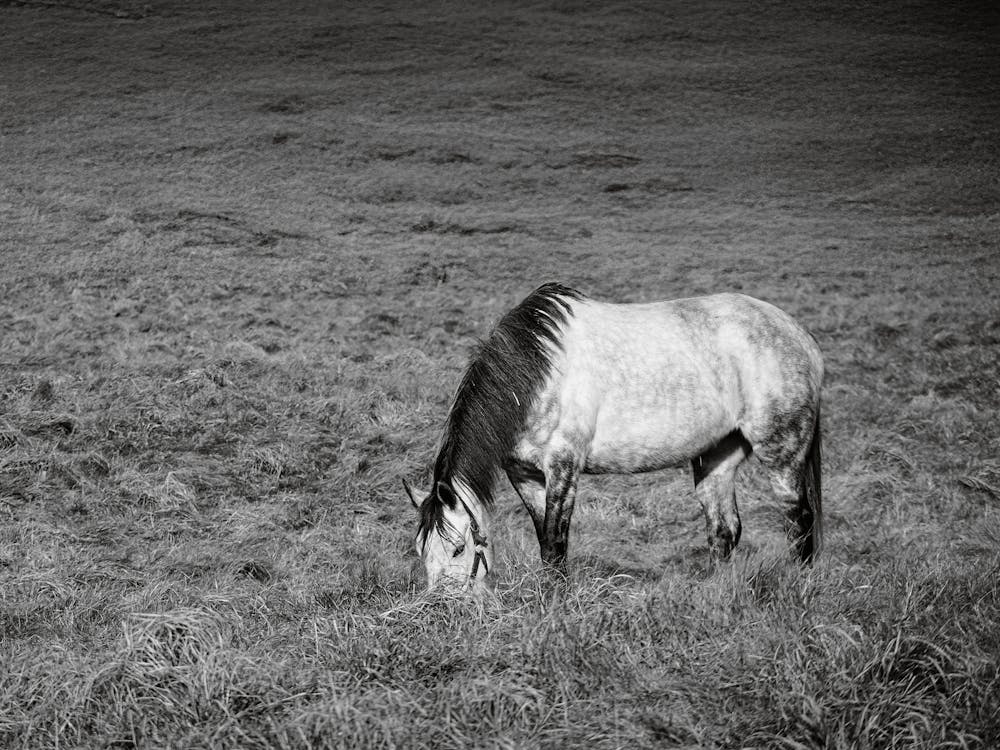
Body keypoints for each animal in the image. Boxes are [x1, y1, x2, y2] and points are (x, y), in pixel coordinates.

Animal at [407, 283, 823, 590]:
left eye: (458, 549)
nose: (441, 608)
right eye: (421, 551)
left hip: (782, 452)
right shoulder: (524, 475)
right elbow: (544, 540)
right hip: (717, 456)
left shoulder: (564, 468)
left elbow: (556, 544)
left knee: (799, 518)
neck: (534, 377)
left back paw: (802, 584)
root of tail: (800, 335)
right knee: (724, 530)